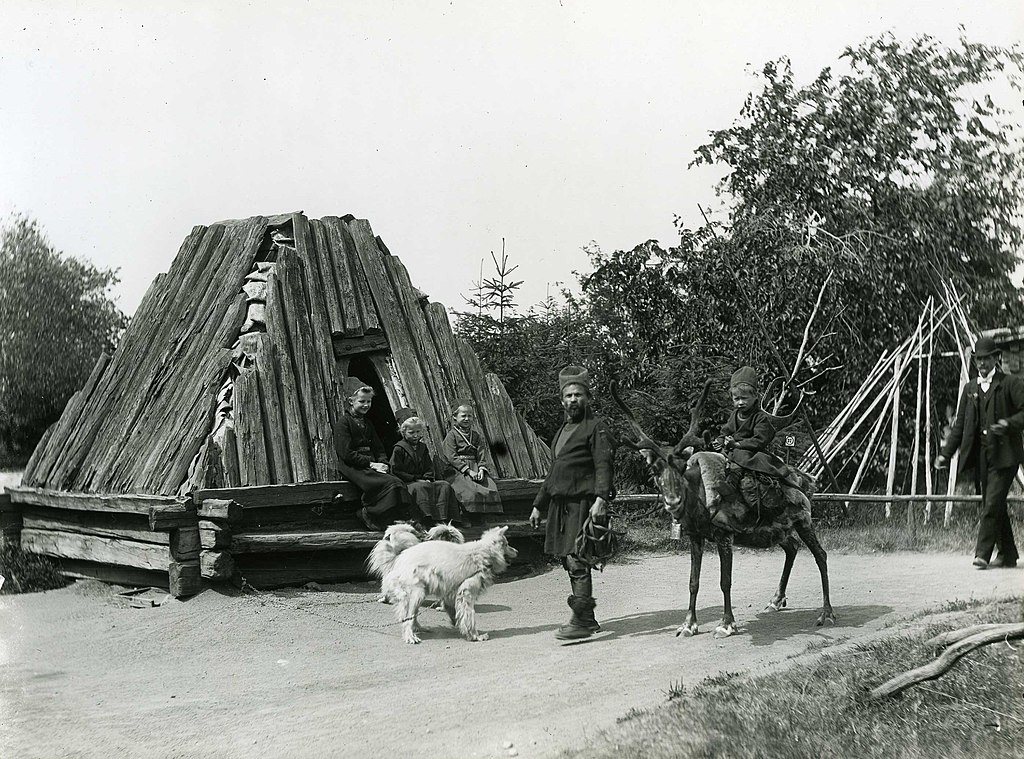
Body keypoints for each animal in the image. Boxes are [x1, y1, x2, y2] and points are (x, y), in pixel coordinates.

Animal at [366, 524, 516, 643]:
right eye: (507, 544)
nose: (517, 551)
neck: (484, 553)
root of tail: (397, 559)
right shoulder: (467, 594)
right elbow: (469, 616)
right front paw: (474, 635)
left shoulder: (453, 594)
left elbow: (456, 612)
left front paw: (458, 625)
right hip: (416, 593)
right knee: (408, 617)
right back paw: (410, 636)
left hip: (419, 593)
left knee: (412, 616)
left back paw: (419, 628)